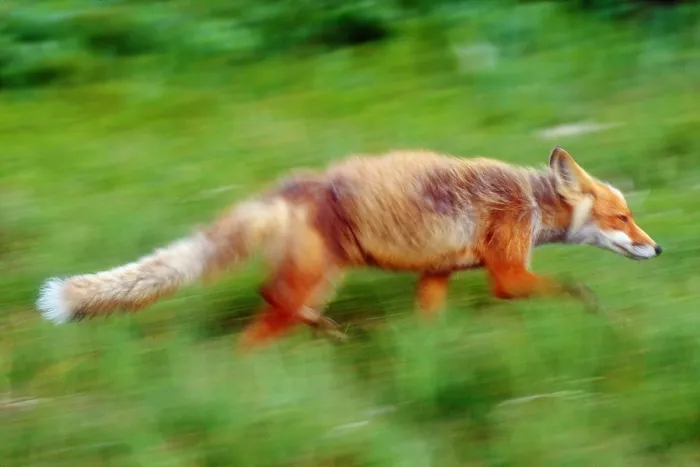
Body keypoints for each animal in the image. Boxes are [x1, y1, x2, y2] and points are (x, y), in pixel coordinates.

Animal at [36, 146, 662, 350]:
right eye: (623, 218)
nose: (658, 249)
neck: (530, 202)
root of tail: (293, 183)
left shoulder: (436, 276)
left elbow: (429, 324)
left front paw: (431, 360)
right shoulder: (506, 274)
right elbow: (571, 287)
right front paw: (594, 309)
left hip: (323, 275)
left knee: (275, 298)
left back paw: (326, 333)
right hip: (317, 274)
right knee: (263, 318)